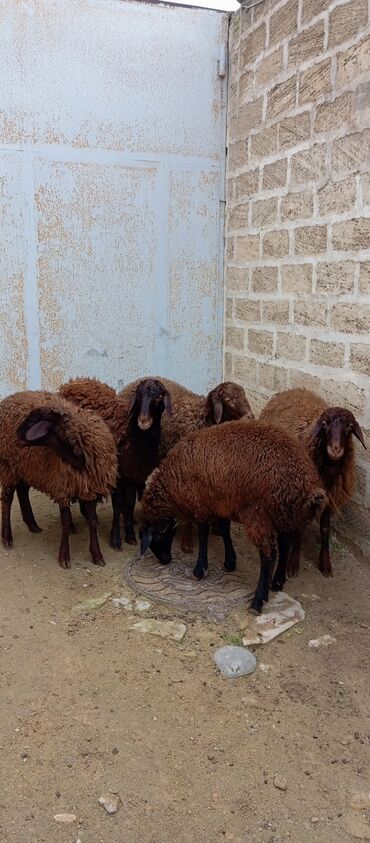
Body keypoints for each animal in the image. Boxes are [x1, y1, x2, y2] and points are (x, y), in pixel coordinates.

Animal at [0, 394, 117, 568]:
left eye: (34, 419)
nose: (15, 437)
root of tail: (8, 398)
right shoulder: (63, 487)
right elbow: (66, 522)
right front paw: (64, 557)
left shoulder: (89, 488)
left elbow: (92, 521)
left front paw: (97, 555)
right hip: (9, 465)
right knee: (7, 498)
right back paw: (7, 538)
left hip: (25, 466)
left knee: (22, 491)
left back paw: (32, 525)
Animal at [59, 376, 172, 548]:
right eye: (138, 396)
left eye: (159, 397)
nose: (143, 421)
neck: (133, 435)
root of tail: (72, 382)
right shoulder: (117, 473)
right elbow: (118, 503)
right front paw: (116, 538)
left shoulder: (134, 474)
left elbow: (130, 502)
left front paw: (130, 534)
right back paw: (72, 525)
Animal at [118, 378, 254, 552]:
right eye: (228, 399)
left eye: (244, 394)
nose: (251, 417)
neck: (203, 420)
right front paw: (187, 543)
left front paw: (216, 527)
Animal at [139, 420, 326, 612]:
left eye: (158, 536)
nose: (166, 560)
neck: (173, 480)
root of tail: (308, 487)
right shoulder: (221, 502)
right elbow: (224, 528)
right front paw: (230, 562)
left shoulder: (201, 503)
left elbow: (203, 533)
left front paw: (200, 569)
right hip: (283, 513)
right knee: (285, 543)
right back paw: (278, 582)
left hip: (258, 514)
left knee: (269, 554)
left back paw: (258, 601)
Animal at [258, 390, 366, 576]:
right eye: (324, 424)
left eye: (349, 426)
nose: (335, 450)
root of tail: (292, 390)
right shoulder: (305, 495)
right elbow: (301, 527)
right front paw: (293, 564)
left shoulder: (330, 497)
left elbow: (325, 529)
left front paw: (325, 563)